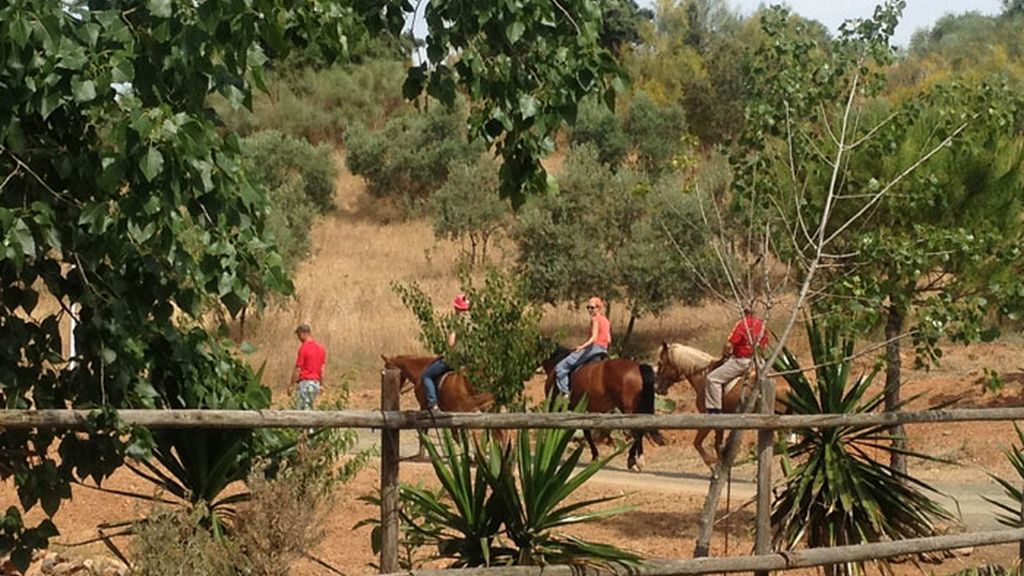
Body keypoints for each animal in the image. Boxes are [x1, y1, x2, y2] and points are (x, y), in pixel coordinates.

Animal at [654, 342, 790, 467]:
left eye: (660, 363)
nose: (657, 388)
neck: (703, 376)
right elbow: (716, 444)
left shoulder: (709, 418)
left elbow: (698, 443)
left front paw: (712, 463)